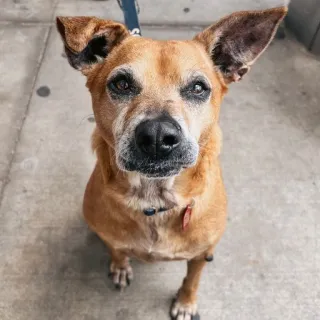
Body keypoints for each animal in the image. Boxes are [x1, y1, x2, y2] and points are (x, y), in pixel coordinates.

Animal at [56, 7, 286, 320]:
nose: (156, 135)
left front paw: (186, 303)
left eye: (198, 88)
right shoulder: (110, 235)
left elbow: (192, 278)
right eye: (121, 84)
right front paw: (120, 266)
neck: (154, 199)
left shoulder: (201, 255)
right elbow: (117, 249)